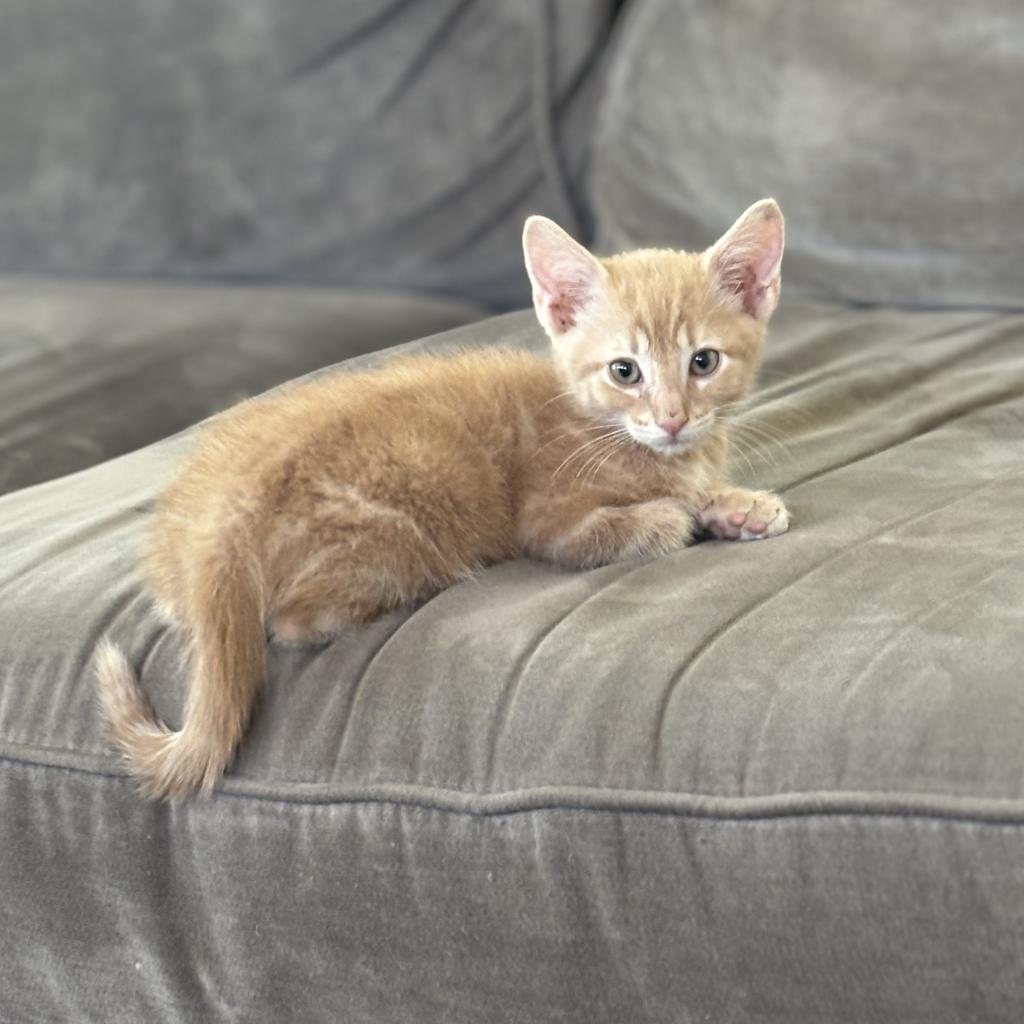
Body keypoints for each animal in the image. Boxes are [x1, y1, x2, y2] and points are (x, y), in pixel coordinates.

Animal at [96, 195, 786, 794]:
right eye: (625, 371)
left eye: (703, 362)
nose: (672, 419)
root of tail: (218, 520)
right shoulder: (551, 519)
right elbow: (635, 522)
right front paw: (685, 513)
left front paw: (740, 508)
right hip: (400, 531)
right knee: (296, 621)